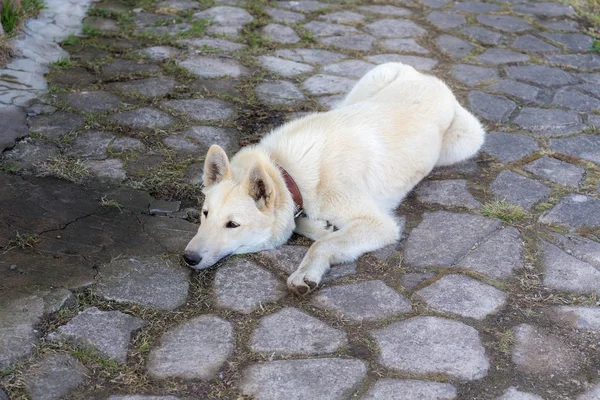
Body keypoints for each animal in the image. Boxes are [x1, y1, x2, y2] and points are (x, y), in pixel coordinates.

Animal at [184, 61, 488, 294]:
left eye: (232, 225)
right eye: (205, 214)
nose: (188, 258)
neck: (288, 173)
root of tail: (430, 79)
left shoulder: (380, 224)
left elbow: (322, 244)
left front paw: (308, 269)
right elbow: (308, 226)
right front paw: (323, 227)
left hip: (466, 141)